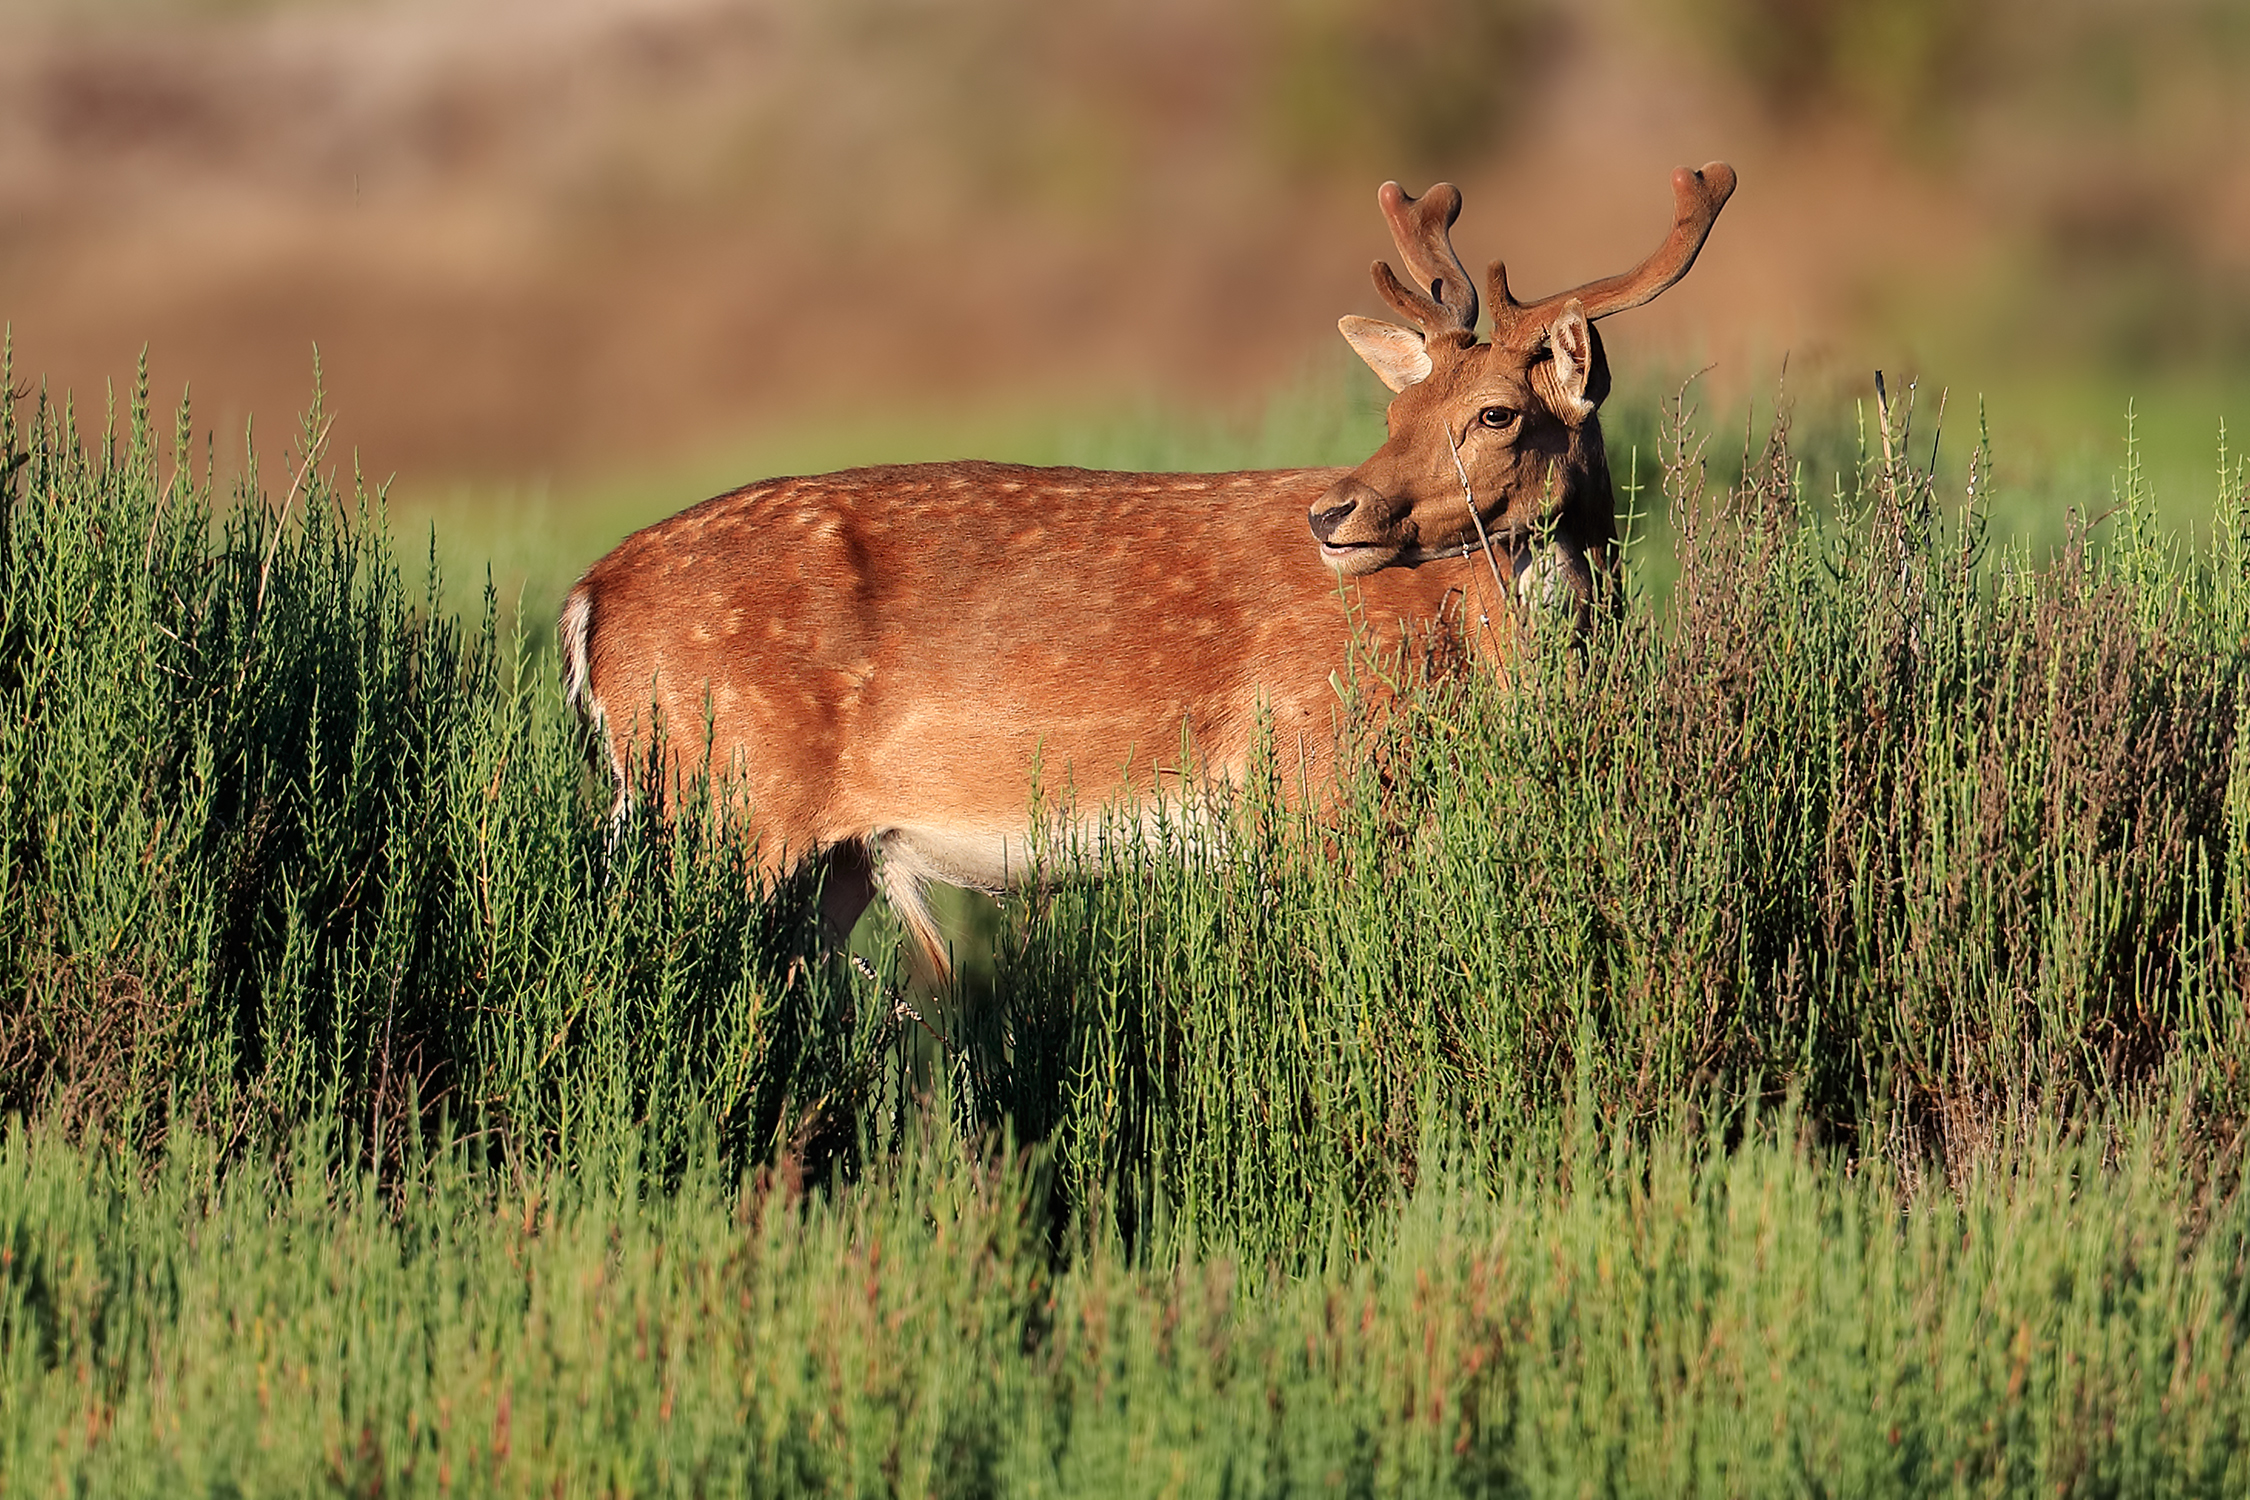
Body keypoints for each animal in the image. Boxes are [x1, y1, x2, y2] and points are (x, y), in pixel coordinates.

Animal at [561, 162, 1734, 985]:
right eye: (1398, 408)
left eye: (1495, 414)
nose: (1334, 513)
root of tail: (585, 599)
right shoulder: (1312, 781)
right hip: (727, 800)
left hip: (816, 853)